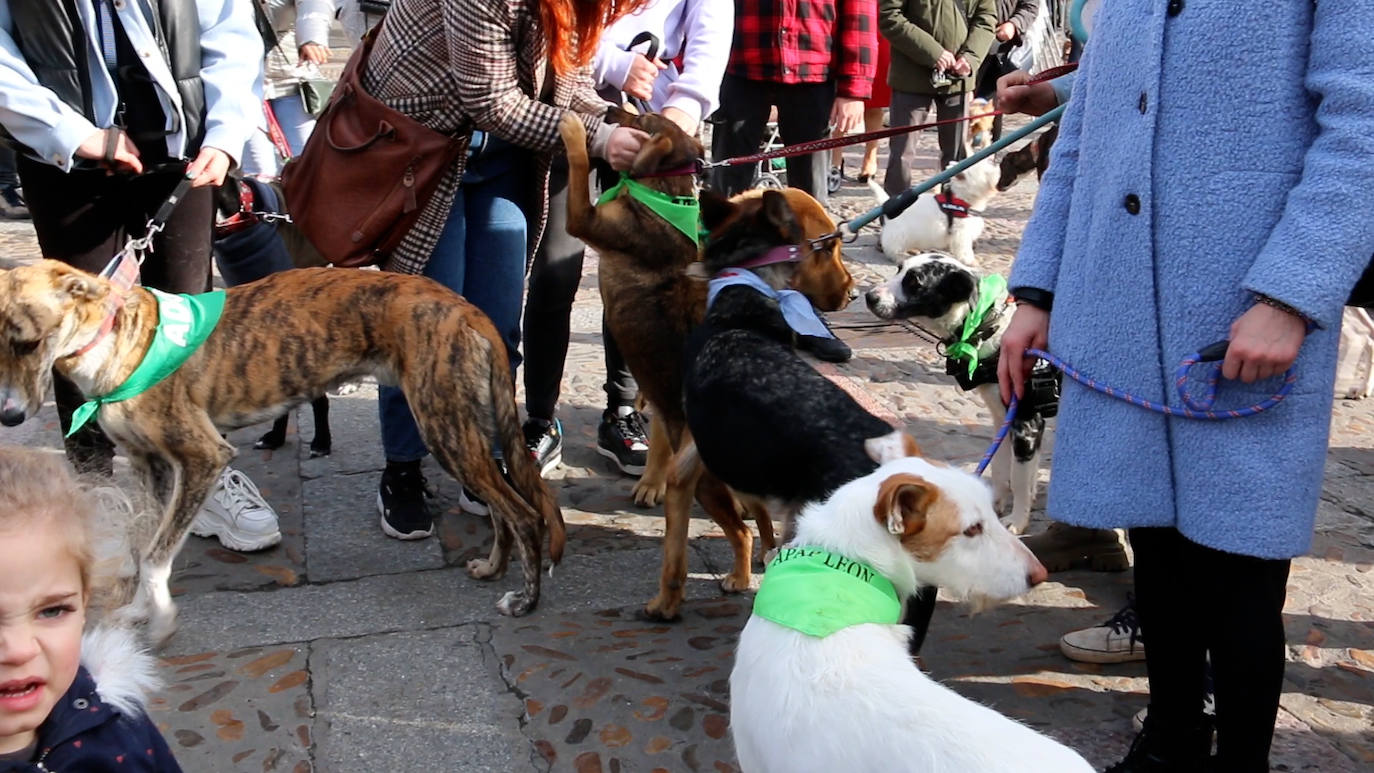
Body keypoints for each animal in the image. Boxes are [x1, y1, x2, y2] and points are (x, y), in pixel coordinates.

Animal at [0, 263, 566, 645]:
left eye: (28, 342)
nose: (8, 418)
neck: (119, 339)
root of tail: (468, 309)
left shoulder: (203, 457)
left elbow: (159, 556)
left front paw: (160, 619)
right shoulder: (150, 467)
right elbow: (145, 550)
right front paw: (141, 611)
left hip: (445, 430)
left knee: (522, 513)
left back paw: (527, 601)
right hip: (464, 432)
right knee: (503, 507)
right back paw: (492, 568)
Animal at [555, 105, 851, 620]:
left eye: (640, 121)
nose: (609, 107)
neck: (661, 193)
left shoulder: (582, 217)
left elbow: (575, 174)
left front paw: (572, 131)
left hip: (709, 486)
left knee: (744, 530)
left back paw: (729, 576)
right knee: (747, 520)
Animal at [862, 251, 1055, 535]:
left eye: (915, 282)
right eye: (898, 269)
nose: (869, 297)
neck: (988, 327)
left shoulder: (1026, 424)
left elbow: (1019, 481)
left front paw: (1017, 522)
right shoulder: (1002, 420)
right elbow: (1000, 468)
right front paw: (994, 505)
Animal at [868, 155, 1000, 267]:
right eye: (986, 170)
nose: (996, 163)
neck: (961, 197)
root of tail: (887, 205)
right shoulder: (961, 231)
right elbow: (965, 249)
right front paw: (970, 261)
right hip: (899, 234)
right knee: (893, 250)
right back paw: (901, 257)